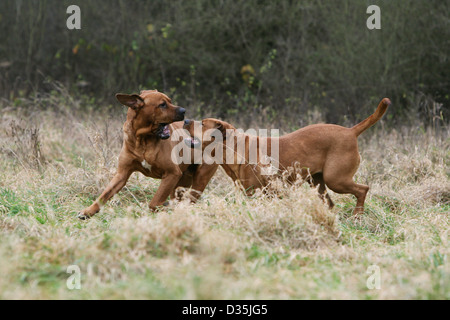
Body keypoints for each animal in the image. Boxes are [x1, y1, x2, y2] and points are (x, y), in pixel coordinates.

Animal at [79, 90, 220, 220]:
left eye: (170, 101)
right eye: (162, 104)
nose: (183, 111)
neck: (143, 140)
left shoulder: (172, 173)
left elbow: (154, 202)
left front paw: (162, 207)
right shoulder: (122, 174)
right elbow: (104, 195)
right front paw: (88, 211)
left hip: (199, 179)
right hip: (181, 182)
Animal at [183, 97, 390, 215]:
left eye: (202, 123)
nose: (185, 120)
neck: (233, 148)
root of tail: (350, 131)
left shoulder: (262, 193)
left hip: (336, 179)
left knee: (362, 189)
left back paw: (358, 215)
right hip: (318, 183)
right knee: (330, 203)